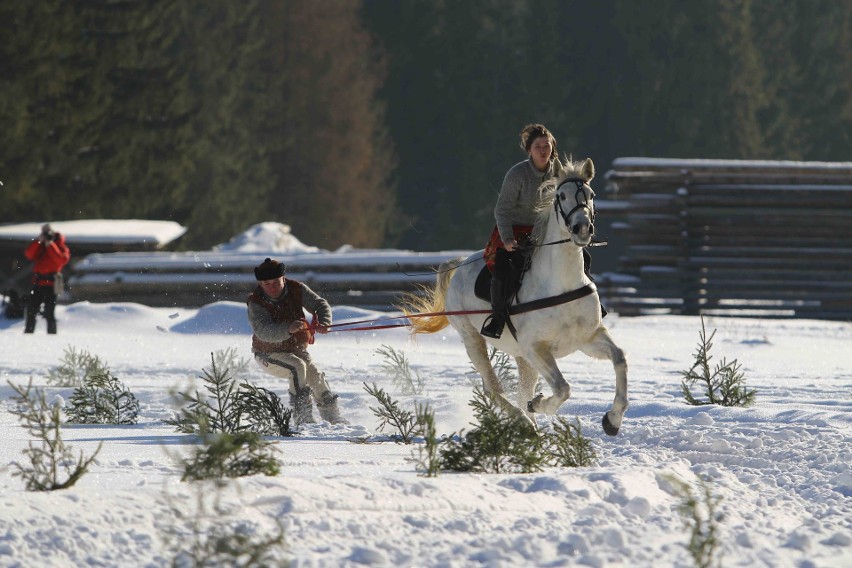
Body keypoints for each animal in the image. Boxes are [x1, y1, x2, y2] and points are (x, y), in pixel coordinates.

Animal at [402, 158, 628, 438]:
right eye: (562, 195)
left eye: (591, 195)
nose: (582, 228)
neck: (561, 284)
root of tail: (461, 264)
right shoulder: (535, 347)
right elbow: (562, 388)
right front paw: (539, 404)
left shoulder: (587, 338)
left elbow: (619, 359)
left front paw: (613, 419)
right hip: (472, 339)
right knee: (493, 389)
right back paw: (524, 420)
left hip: (522, 357)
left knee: (518, 389)